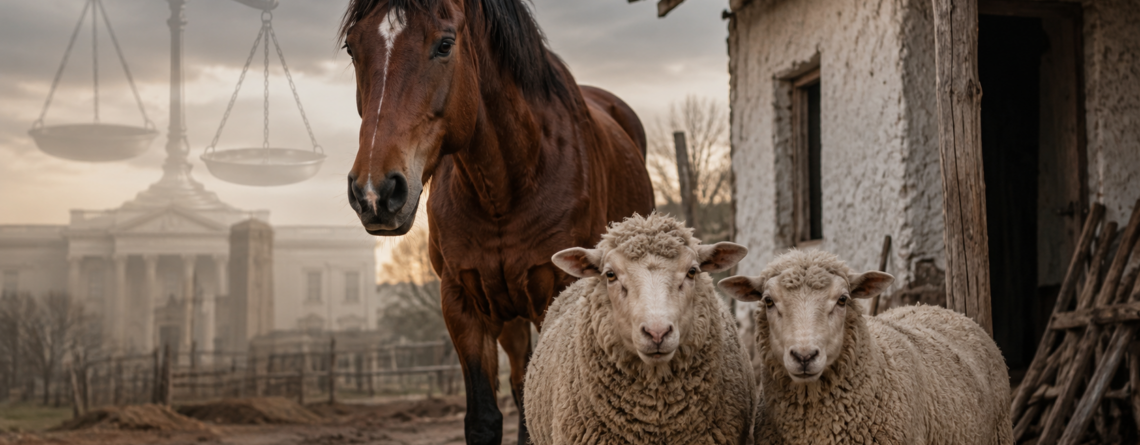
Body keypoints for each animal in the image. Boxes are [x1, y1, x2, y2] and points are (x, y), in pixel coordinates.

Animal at [339, 0, 654, 443]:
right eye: (352, 48)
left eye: (445, 44)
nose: (375, 193)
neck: (506, 188)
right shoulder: (462, 304)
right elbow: (486, 418)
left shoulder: (558, 293)